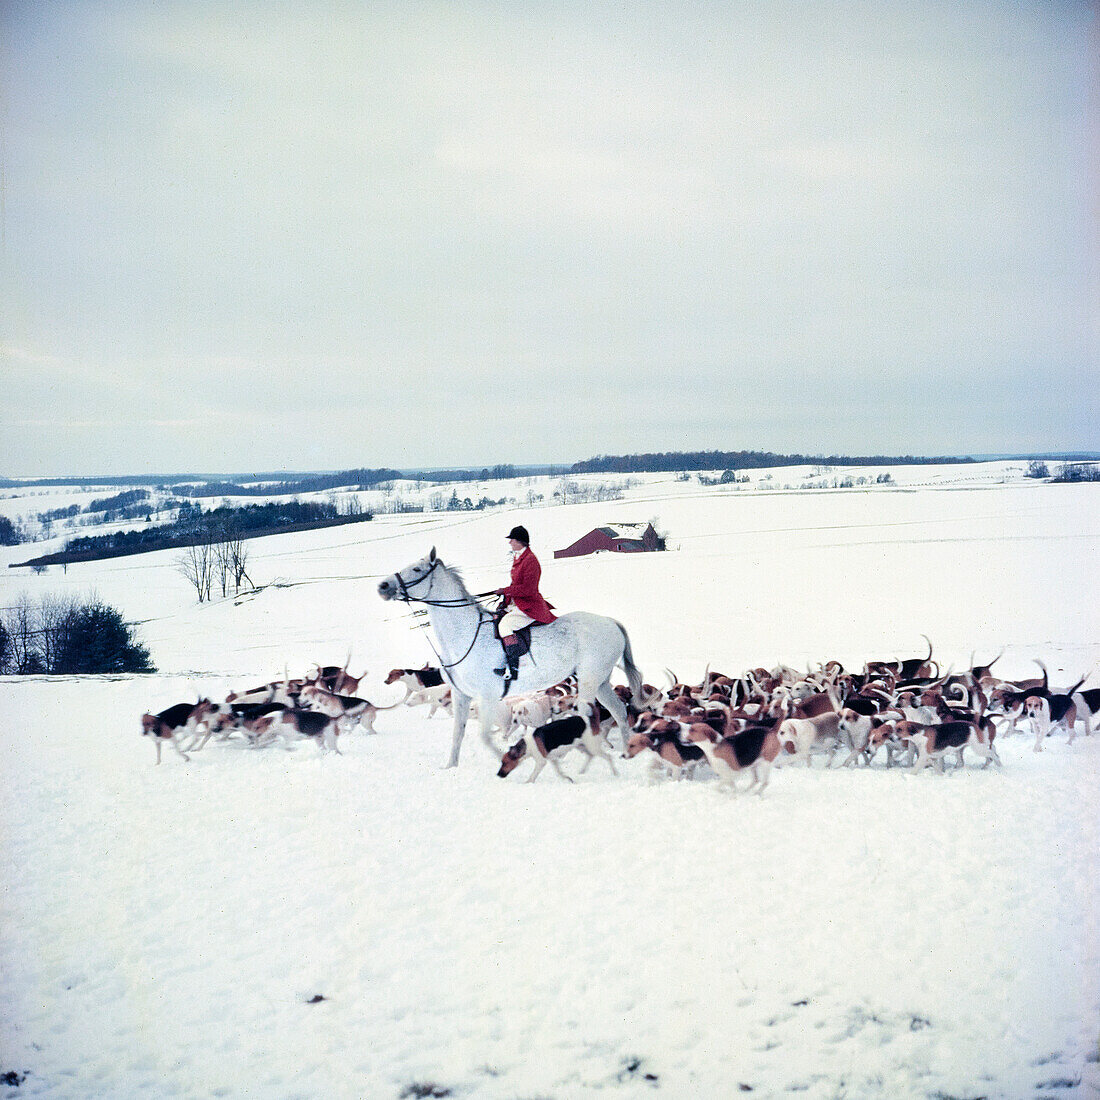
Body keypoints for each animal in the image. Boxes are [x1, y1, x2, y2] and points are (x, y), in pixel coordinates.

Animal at [382, 547, 646, 770]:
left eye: (417, 569)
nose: (383, 585)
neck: (464, 635)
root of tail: (609, 621)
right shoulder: (461, 694)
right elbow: (458, 732)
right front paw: (450, 766)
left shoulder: (488, 697)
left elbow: (485, 736)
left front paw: (506, 760)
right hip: (600, 681)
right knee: (618, 712)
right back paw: (624, 749)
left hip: (589, 681)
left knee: (587, 715)